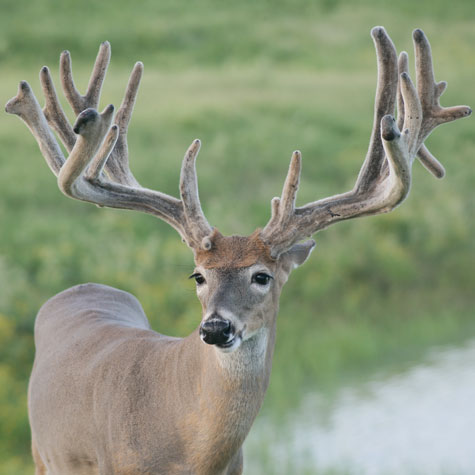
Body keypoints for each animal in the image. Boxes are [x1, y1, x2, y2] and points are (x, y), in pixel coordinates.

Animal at [4, 27, 472, 475]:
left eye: (261, 276)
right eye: (198, 275)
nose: (215, 327)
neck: (188, 450)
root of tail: (81, 287)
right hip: (41, 453)